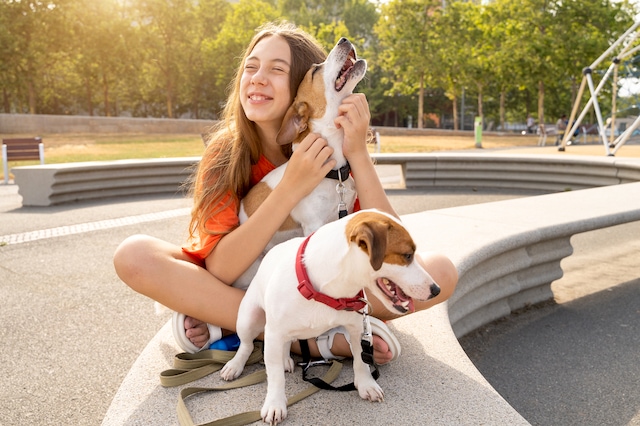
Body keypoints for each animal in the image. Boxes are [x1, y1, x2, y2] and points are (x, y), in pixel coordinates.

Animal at [220, 210, 440, 422]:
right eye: (407, 255)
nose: (436, 290)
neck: (328, 292)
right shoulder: (274, 332)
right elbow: (274, 375)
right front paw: (275, 403)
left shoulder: (357, 328)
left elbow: (361, 360)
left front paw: (366, 384)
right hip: (248, 319)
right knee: (247, 345)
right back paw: (236, 365)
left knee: (286, 343)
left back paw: (284, 358)